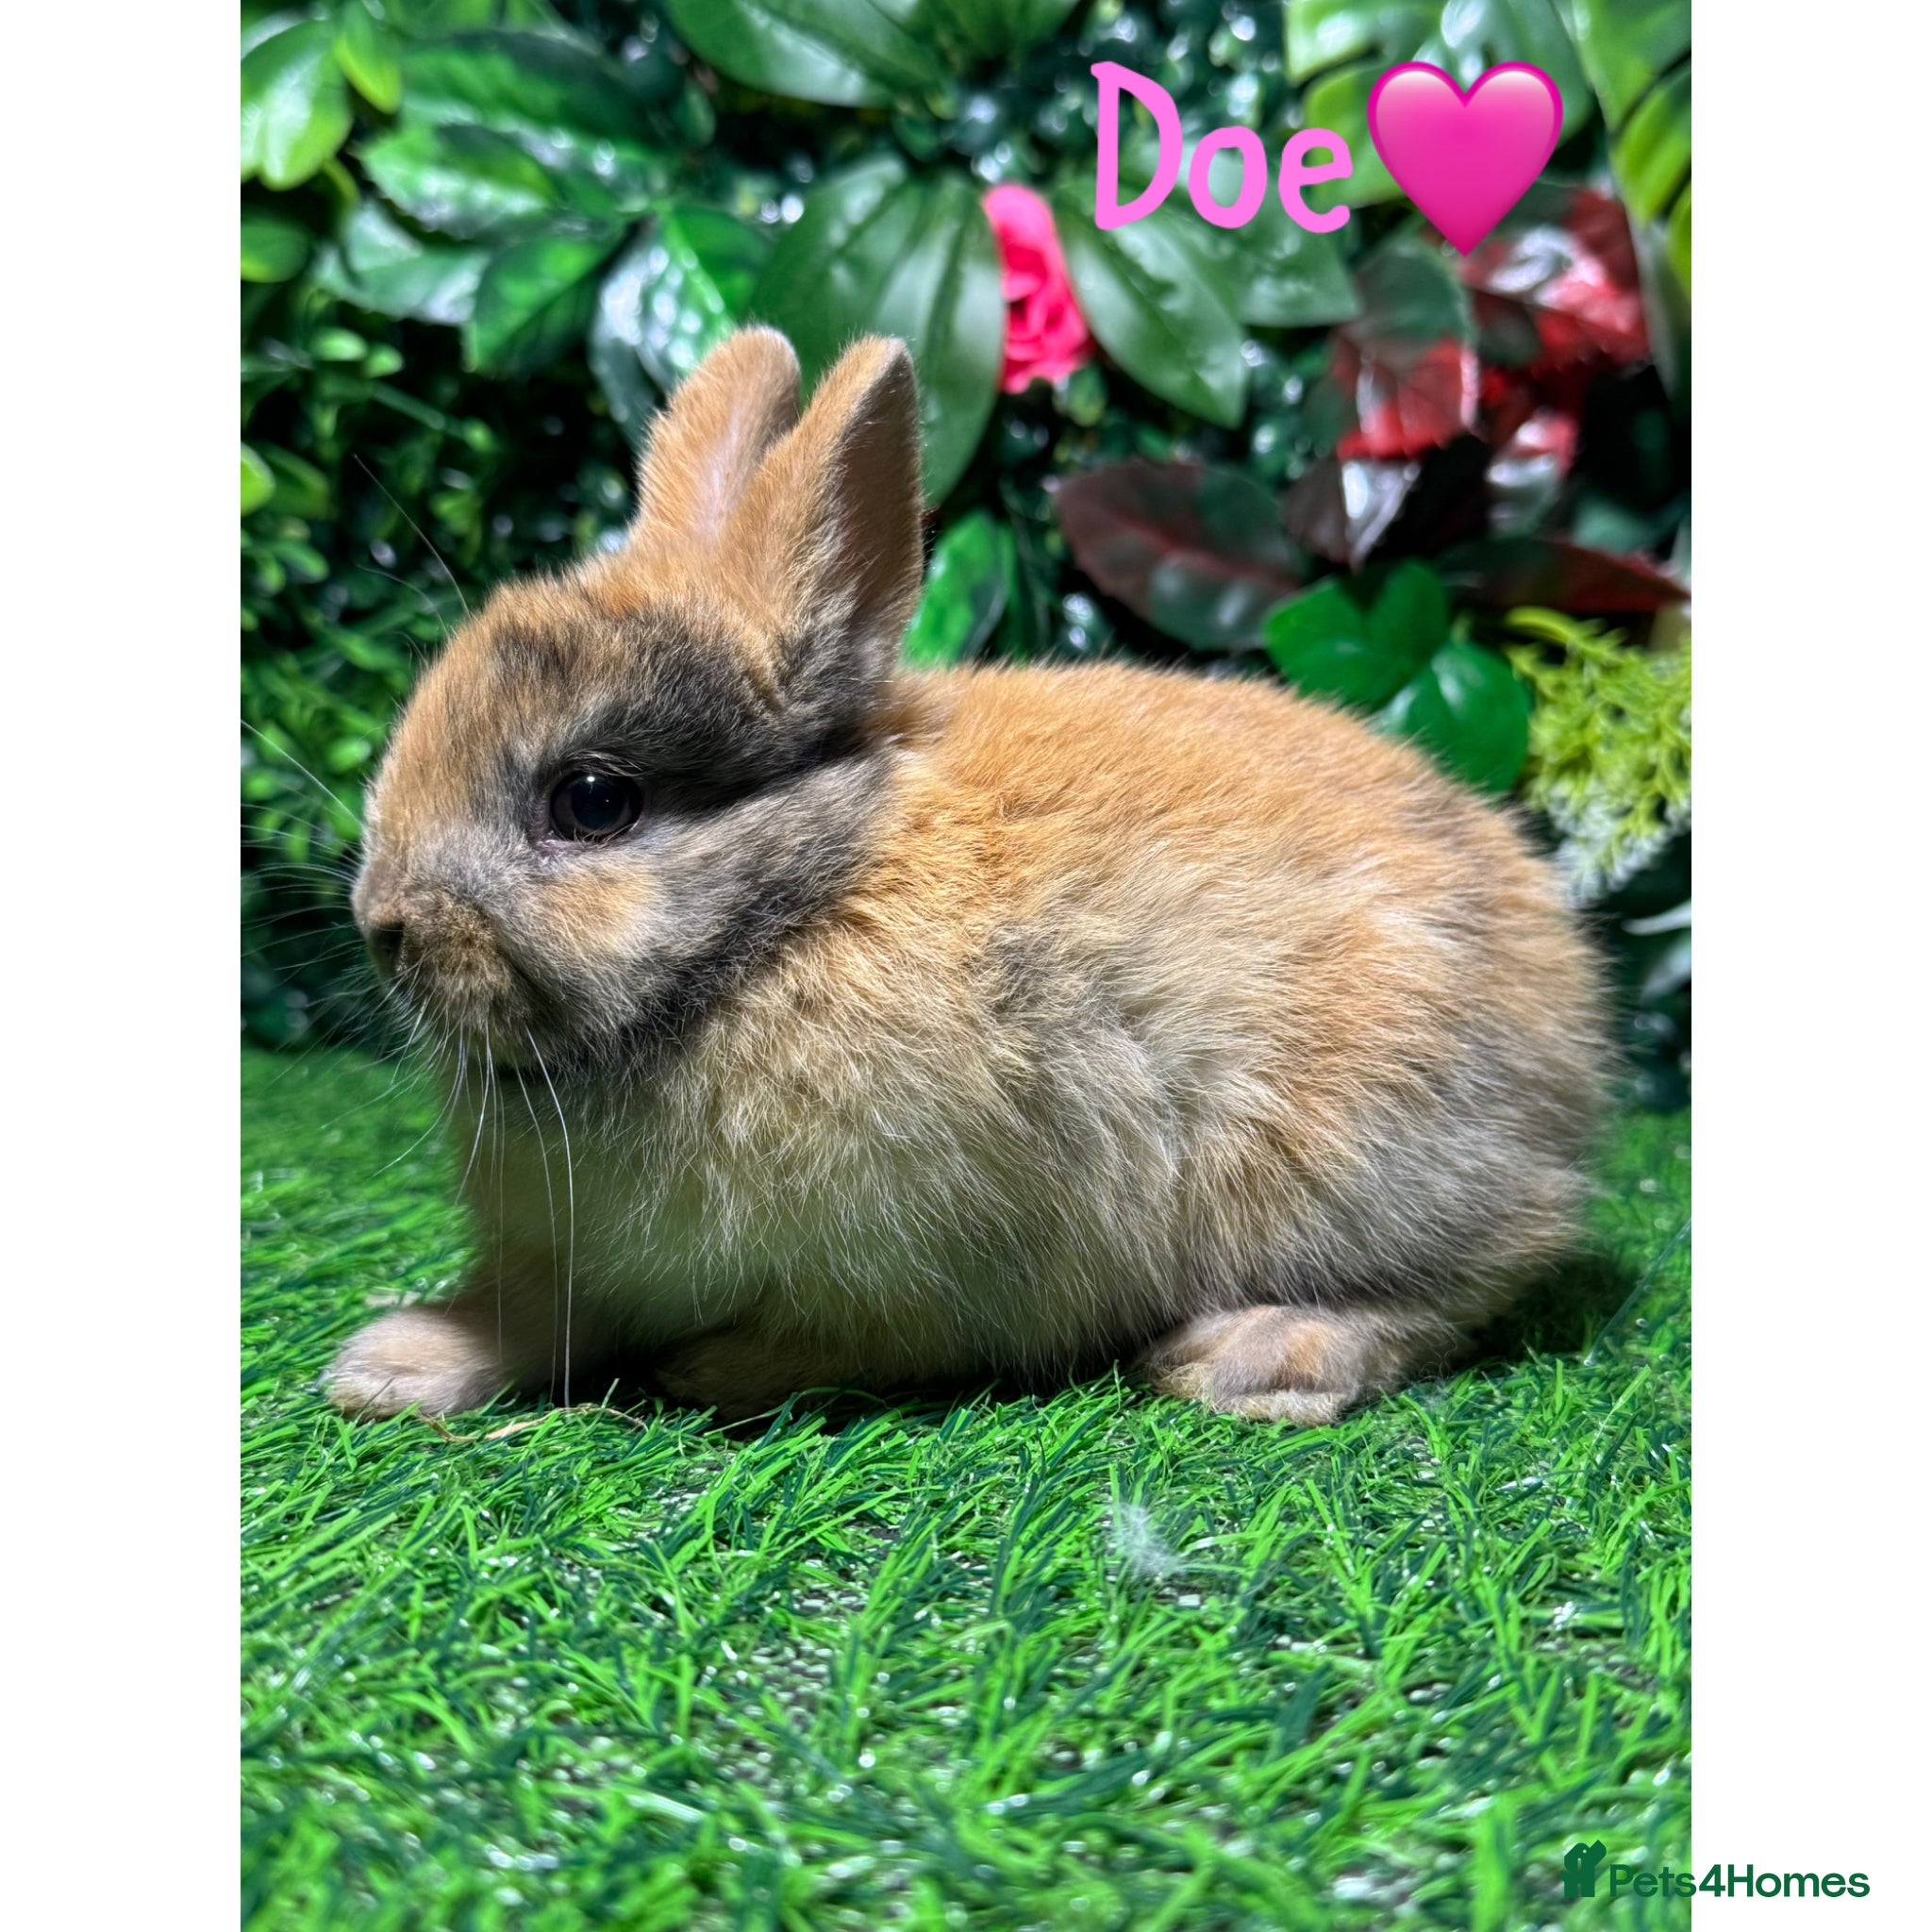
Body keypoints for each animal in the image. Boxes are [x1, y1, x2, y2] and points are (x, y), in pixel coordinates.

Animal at [329, 326, 1606, 1428]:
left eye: (592, 800)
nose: (381, 923)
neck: (787, 912)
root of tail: (1570, 1025)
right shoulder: (576, 1264)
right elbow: (532, 1315)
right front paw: (390, 1365)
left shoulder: (923, 1274)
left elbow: (846, 1344)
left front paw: (709, 1371)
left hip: (1355, 1159)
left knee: (1469, 1279)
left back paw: (1254, 1356)